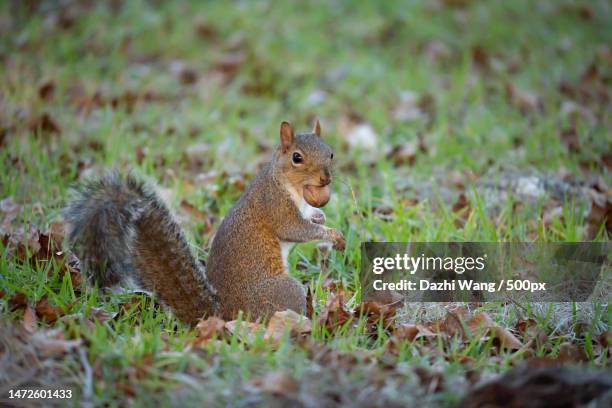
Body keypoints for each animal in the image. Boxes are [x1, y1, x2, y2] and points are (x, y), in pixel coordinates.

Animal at [65, 120, 350, 326]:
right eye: (297, 158)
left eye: (331, 153)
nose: (325, 179)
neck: (291, 186)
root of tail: (224, 316)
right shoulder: (275, 205)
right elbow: (295, 229)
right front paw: (332, 234)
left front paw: (320, 216)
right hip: (284, 291)